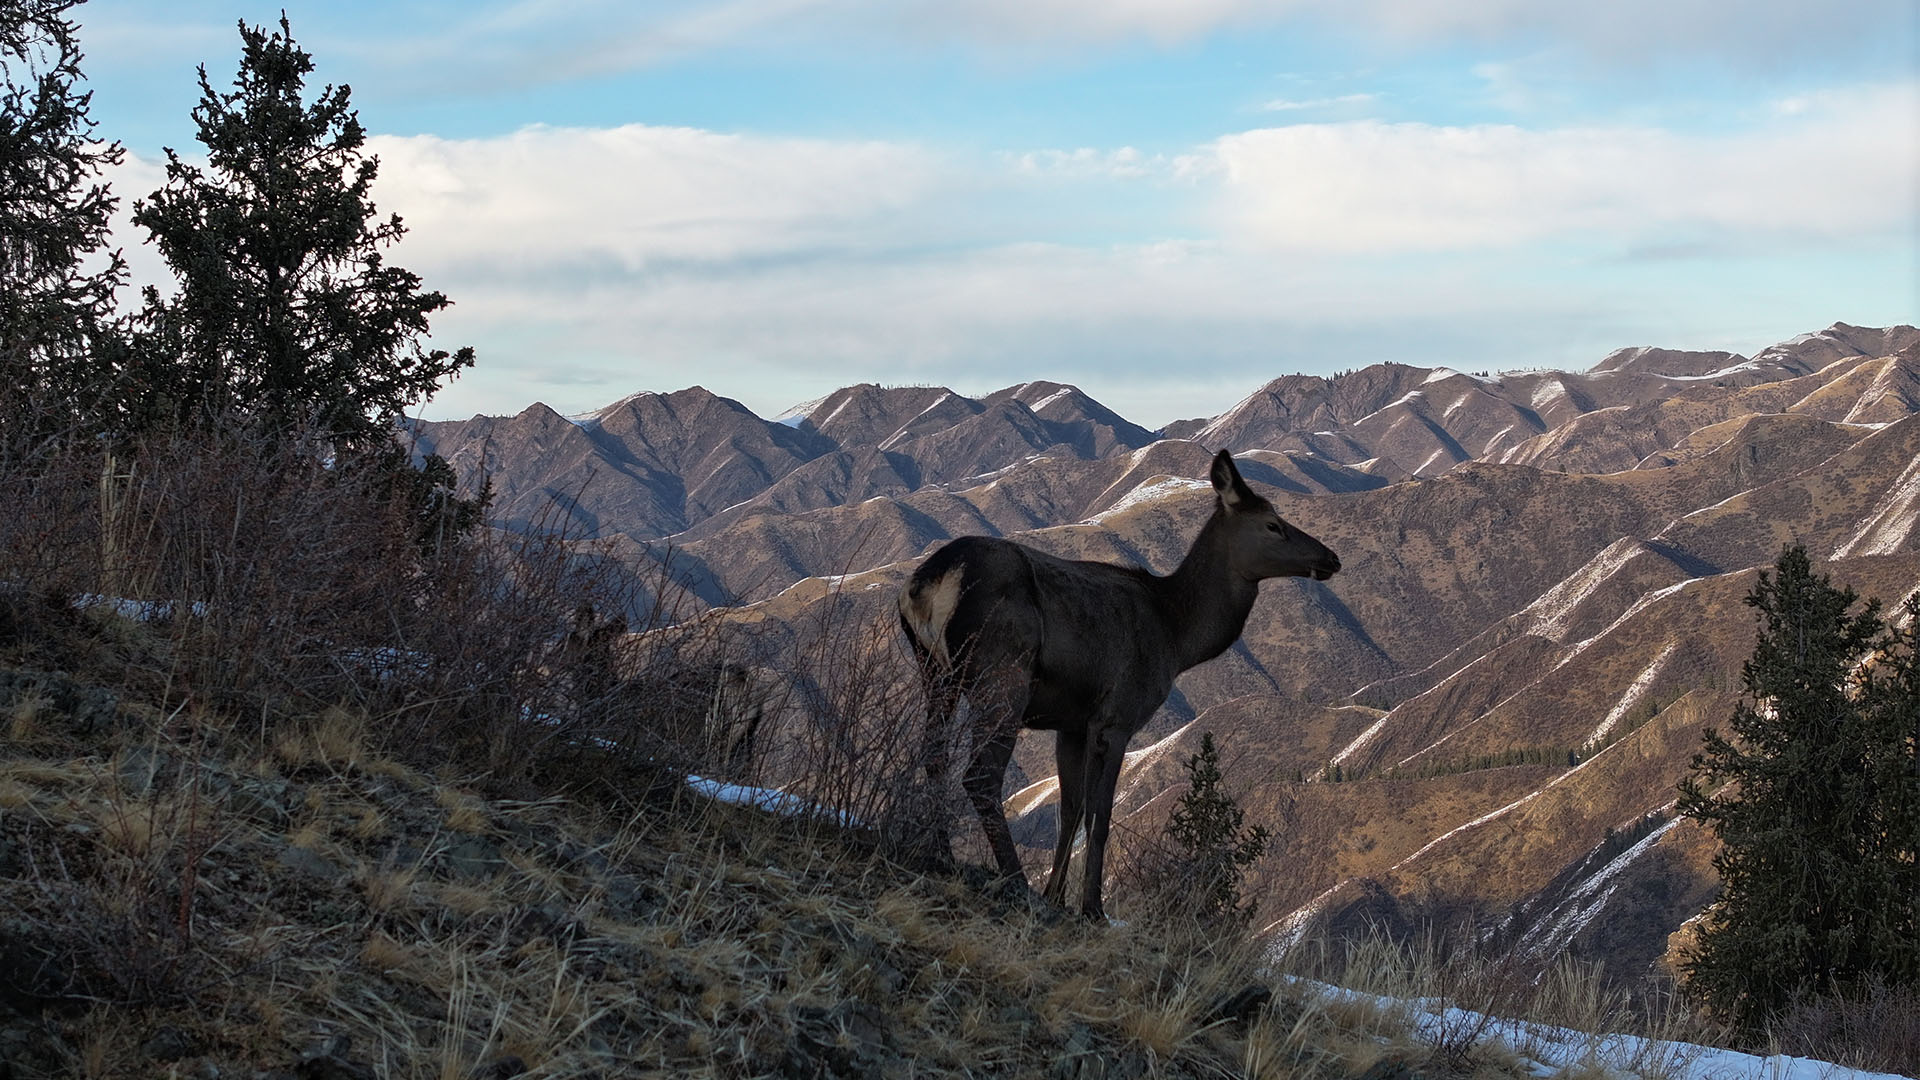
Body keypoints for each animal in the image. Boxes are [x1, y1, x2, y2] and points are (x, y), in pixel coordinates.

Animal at [897, 450, 1341, 921]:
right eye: (1273, 524)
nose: (1331, 558)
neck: (1176, 636)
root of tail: (927, 582)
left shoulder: (1071, 723)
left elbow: (1071, 810)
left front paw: (1057, 896)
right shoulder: (1118, 715)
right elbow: (1100, 815)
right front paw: (1092, 907)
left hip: (935, 672)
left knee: (934, 756)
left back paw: (942, 854)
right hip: (1003, 673)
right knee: (979, 775)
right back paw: (1014, 880)